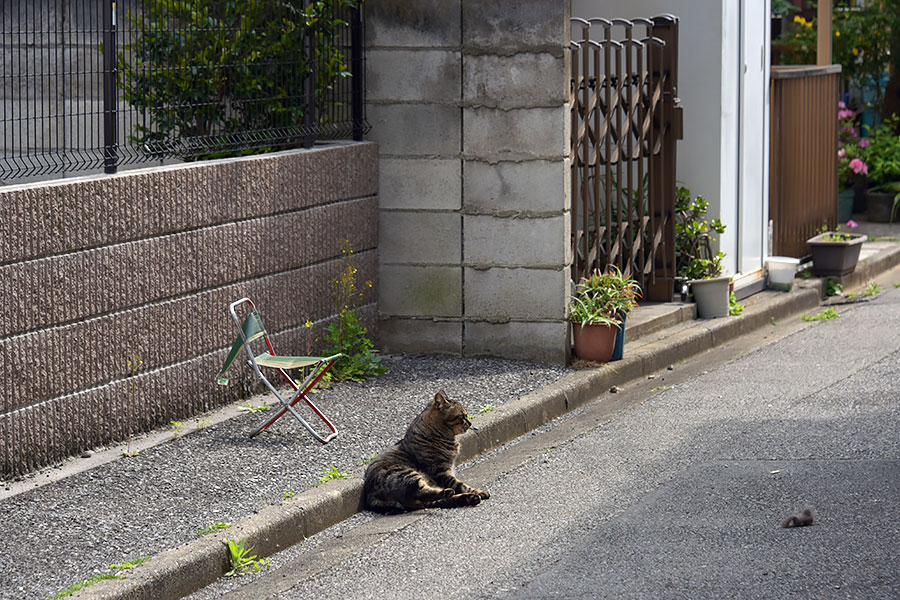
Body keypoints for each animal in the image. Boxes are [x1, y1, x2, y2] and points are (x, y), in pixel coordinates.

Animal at [364, 392, 492, 512]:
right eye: (462, 416)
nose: (470, 423)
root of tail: (370, 494)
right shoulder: (441, 472)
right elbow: (460, 485)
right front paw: (477, 491)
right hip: (408, 474)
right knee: (424, 493)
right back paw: (451, 493)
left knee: (433, 500)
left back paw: (469, 498)